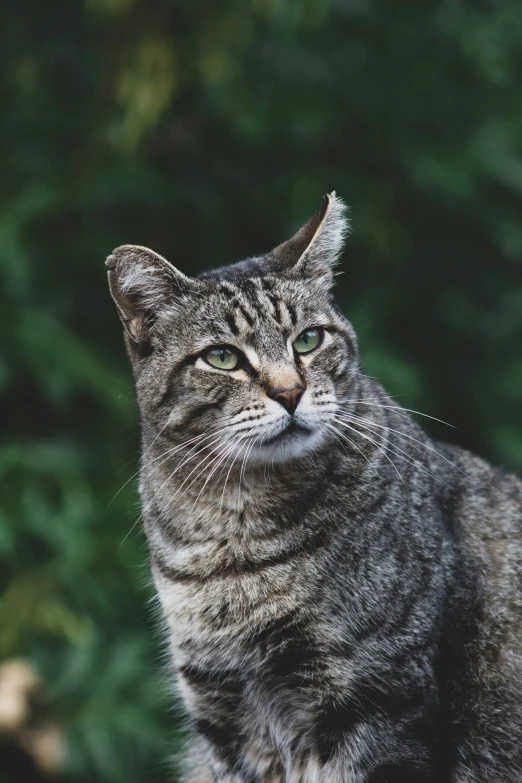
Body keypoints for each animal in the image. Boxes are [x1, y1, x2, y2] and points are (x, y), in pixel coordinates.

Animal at [104, 191, 520, 783]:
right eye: (222, 357)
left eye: (308, 339)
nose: (289, 392)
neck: (235, 529)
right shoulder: (226, 717)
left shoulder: (378, 708)